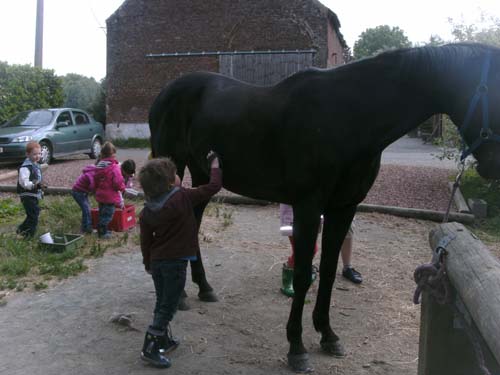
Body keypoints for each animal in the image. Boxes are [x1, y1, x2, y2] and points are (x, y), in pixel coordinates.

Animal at [148, 44, 500, 374]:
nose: (492, 167)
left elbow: (329, 271)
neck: (347, 117)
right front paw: (296, 347)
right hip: (173, 164)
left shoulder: (343, 208)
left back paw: (201, 288)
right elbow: (304, 274)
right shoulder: (308, 206)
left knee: (193, 222)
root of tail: (166, 91)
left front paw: (328, 335)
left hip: (203, 173)